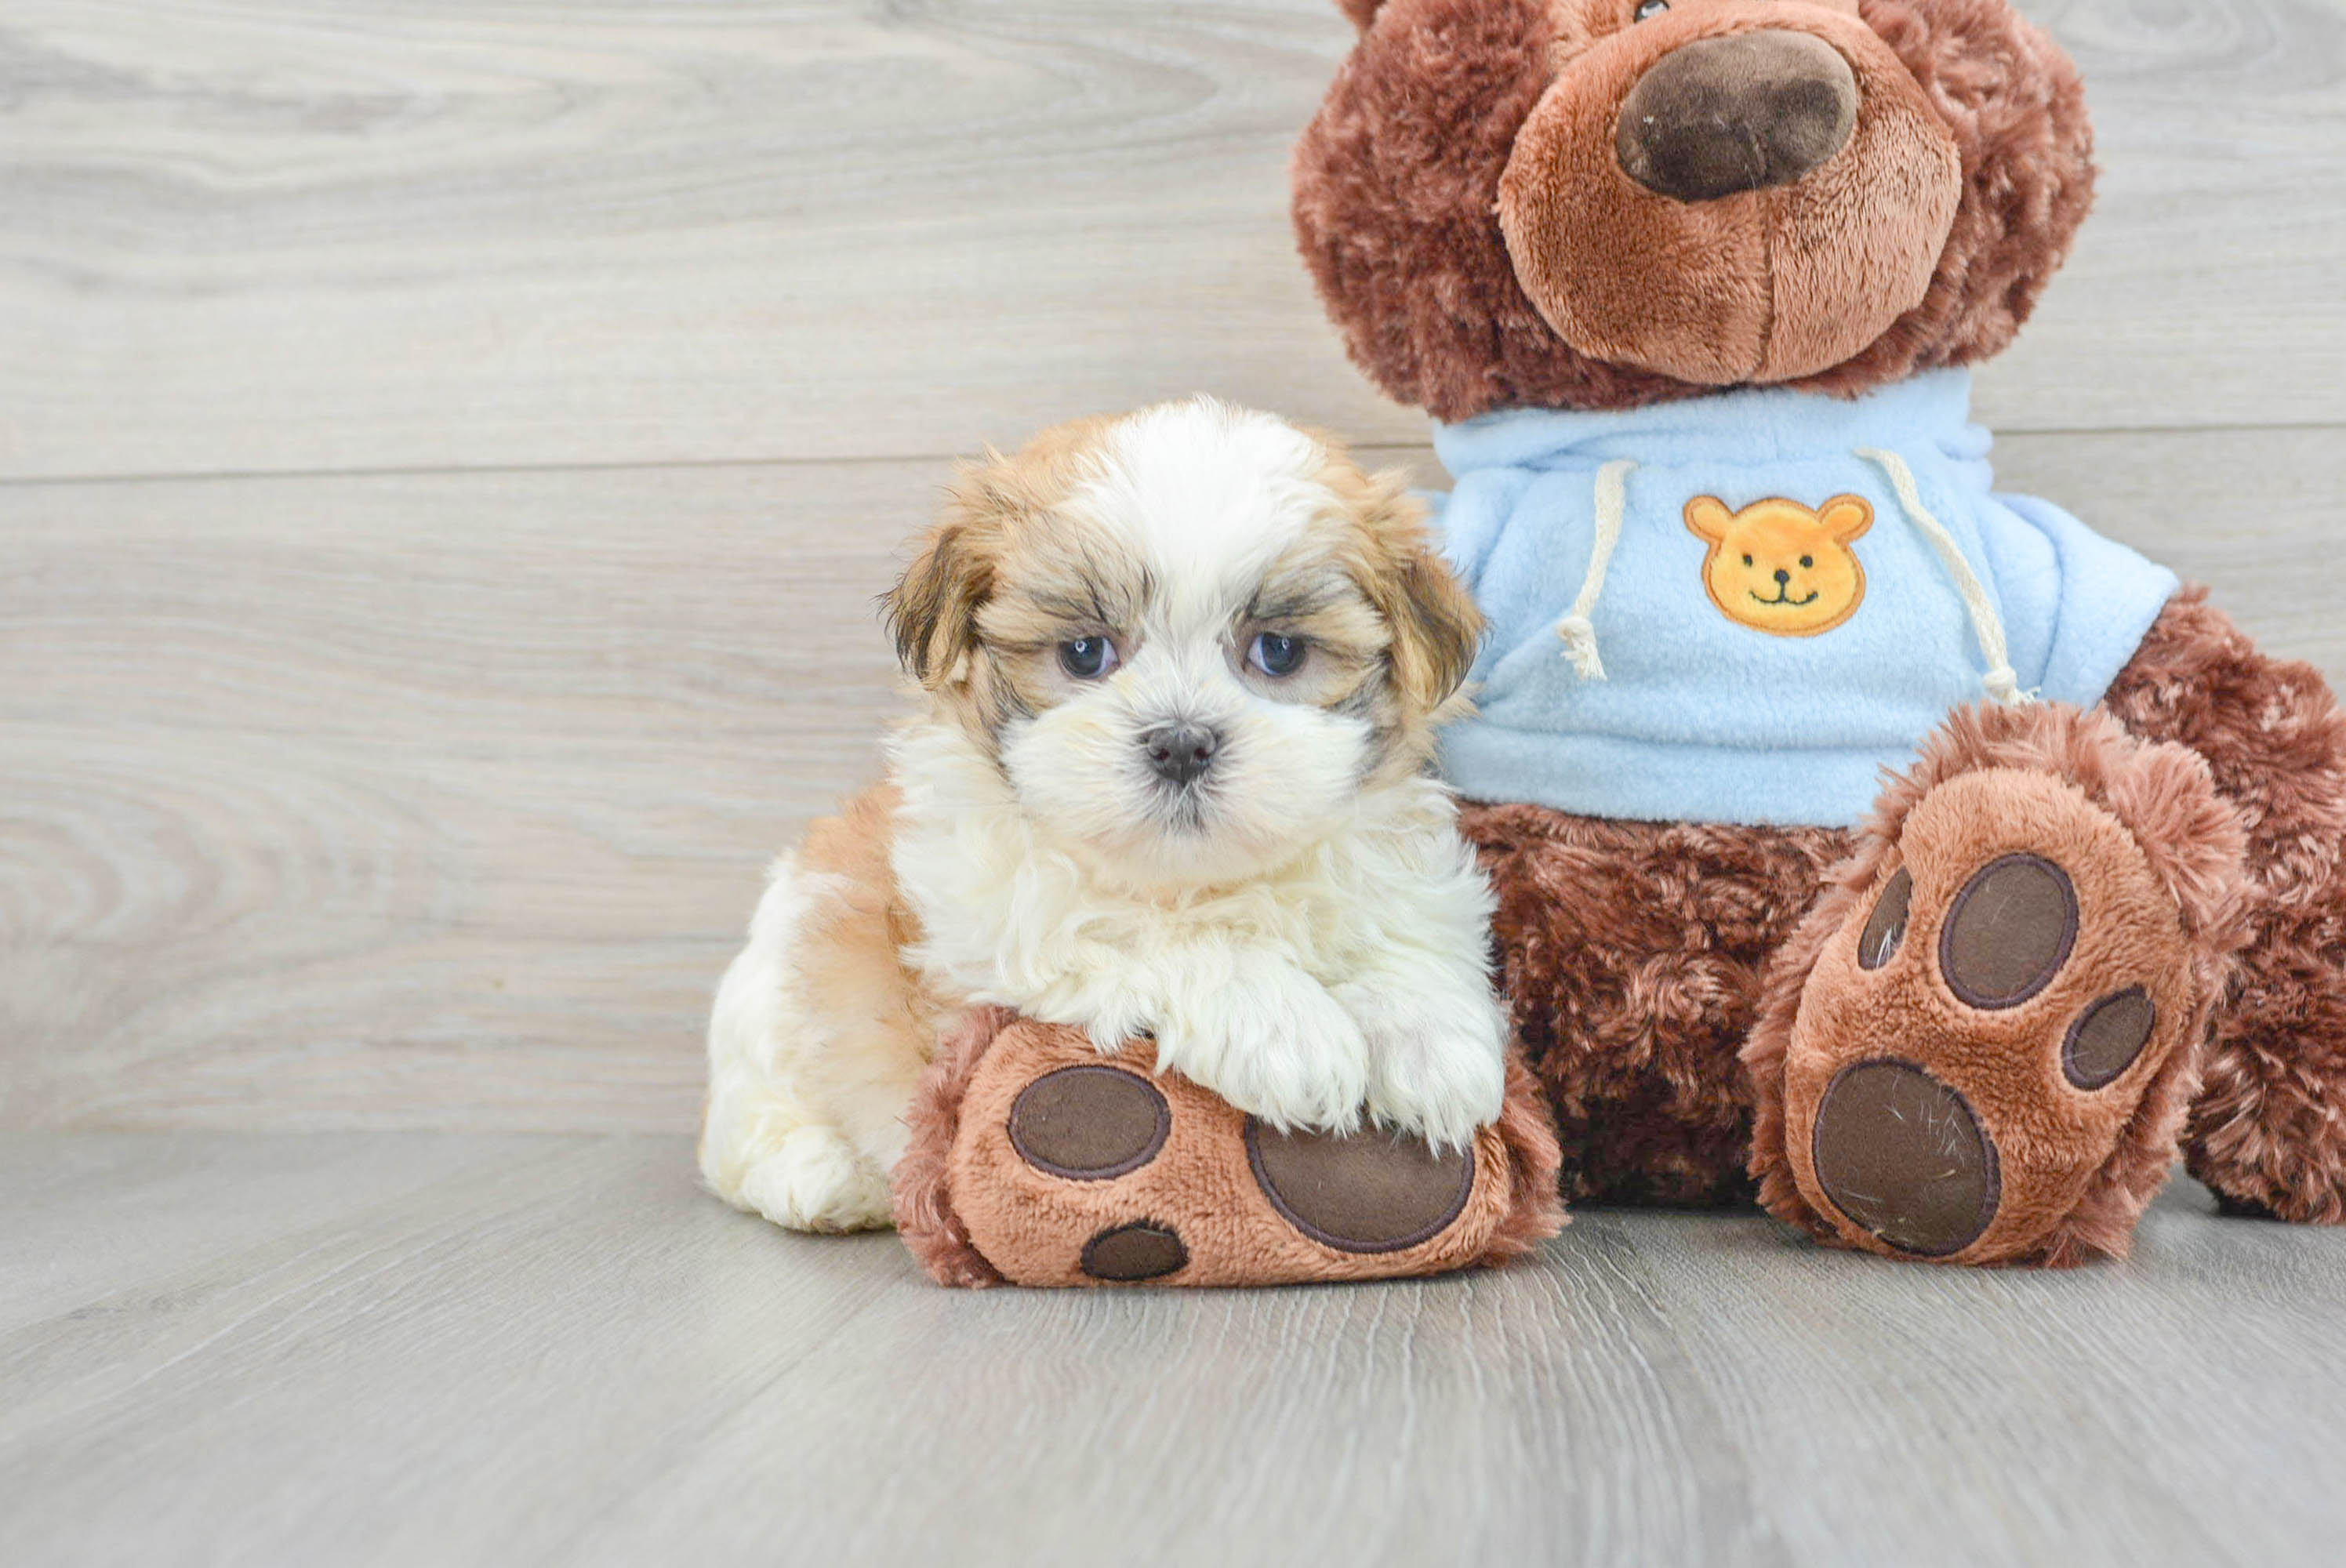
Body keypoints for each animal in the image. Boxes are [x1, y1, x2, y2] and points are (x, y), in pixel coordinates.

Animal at [699, 398, 1501, 1229]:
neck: (1201, 880)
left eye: (1279, 651)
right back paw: (819, 1173)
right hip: (774, 1011)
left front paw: (1430, 1043)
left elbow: (1405, 931)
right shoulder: (1000, 914)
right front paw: (1283, 1025)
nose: (1181, 743)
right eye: (1085, 653)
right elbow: (1144, 931)